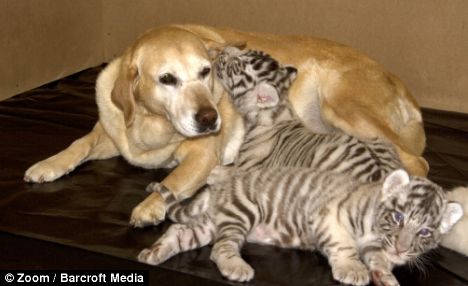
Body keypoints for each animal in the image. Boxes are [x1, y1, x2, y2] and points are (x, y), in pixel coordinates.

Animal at [24, 25, 428, 229]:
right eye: (167, 79)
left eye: (206, 71)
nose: (209, 118)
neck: (154, 127)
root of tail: (400, 83)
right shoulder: (111, 133)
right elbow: (78, 143)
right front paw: (48, 164)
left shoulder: (202, 155)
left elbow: (172, 179)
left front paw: (150, 205)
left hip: (342, 106)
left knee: (416, 163)